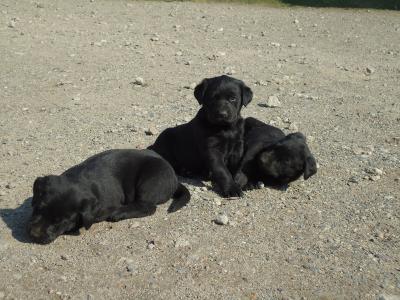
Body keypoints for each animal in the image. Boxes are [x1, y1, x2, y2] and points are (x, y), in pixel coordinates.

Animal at [28, 149, 191, 245]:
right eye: (38, 208)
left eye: (60, 222)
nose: (34, 235)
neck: (79, 180)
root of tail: (175, 179)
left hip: (150, 179)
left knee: (148, 207)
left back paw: (119, 212)